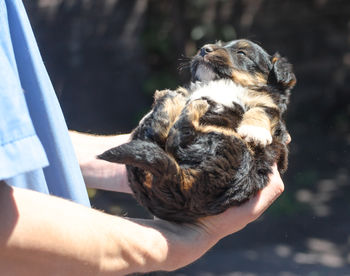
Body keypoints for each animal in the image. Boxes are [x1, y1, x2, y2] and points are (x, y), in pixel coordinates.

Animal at [98, 38, 296, 222]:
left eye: (242, 53)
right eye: (218, 44)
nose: (203, 49)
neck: (223, 83)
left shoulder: (269, 105)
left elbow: (263, 110)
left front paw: (254, 131)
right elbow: (185, 92)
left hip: (226, 142)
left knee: (174, 137)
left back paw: (187, 104)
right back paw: (169, 98)